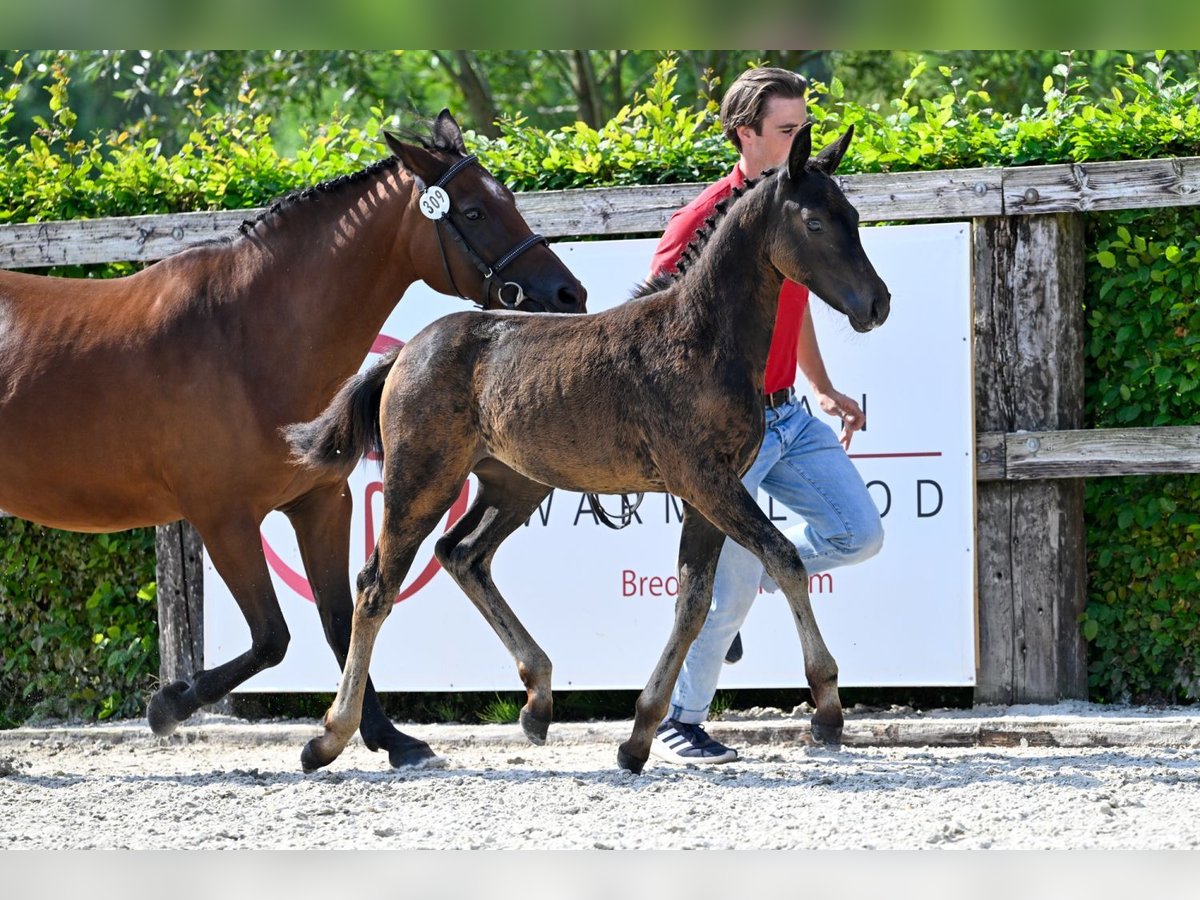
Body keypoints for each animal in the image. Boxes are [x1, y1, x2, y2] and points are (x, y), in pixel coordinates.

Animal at [0, 109, 585, 763]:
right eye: (476, 211)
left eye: (507, 197)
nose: (569, 294)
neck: (244, 337)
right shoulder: (224, 520)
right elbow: (273, 638)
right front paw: (168, 704)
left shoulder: (321, 503)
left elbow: (342, 613)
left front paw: (381, 737)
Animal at [288, 121, 892, 777]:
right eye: (815, 223)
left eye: (854, 215)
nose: (877, 303)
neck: (699, 337)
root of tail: (404, 352)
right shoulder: (705, 481)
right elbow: (783, 559)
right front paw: (827, 707)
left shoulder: (710, 490)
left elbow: (693, 600)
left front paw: (639, 736)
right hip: (421, 480)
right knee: (376, 586)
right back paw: (331, 736)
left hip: (517, 482)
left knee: (462, 553)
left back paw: (537, 701)